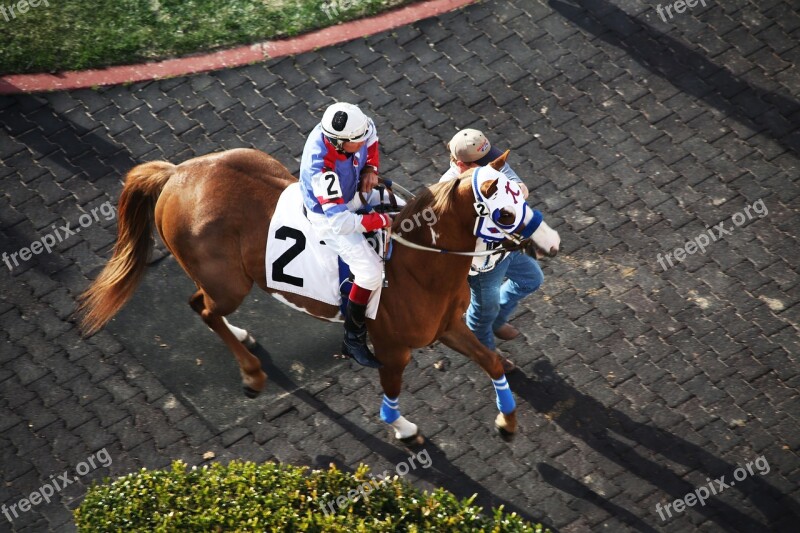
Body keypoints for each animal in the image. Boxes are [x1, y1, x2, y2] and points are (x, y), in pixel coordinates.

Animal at [78, 148, 560, 442]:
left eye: (523, 192)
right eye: (503, 212)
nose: (551, 242)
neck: (417, 262)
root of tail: (178, 174)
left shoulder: (447, 327)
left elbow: (491, 361)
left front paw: (507, 419)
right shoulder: (393, 350)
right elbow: (392, 390)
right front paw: (402, 428)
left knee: (203, 306)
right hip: (229, 284)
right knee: (204, 309)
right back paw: (252, 373)